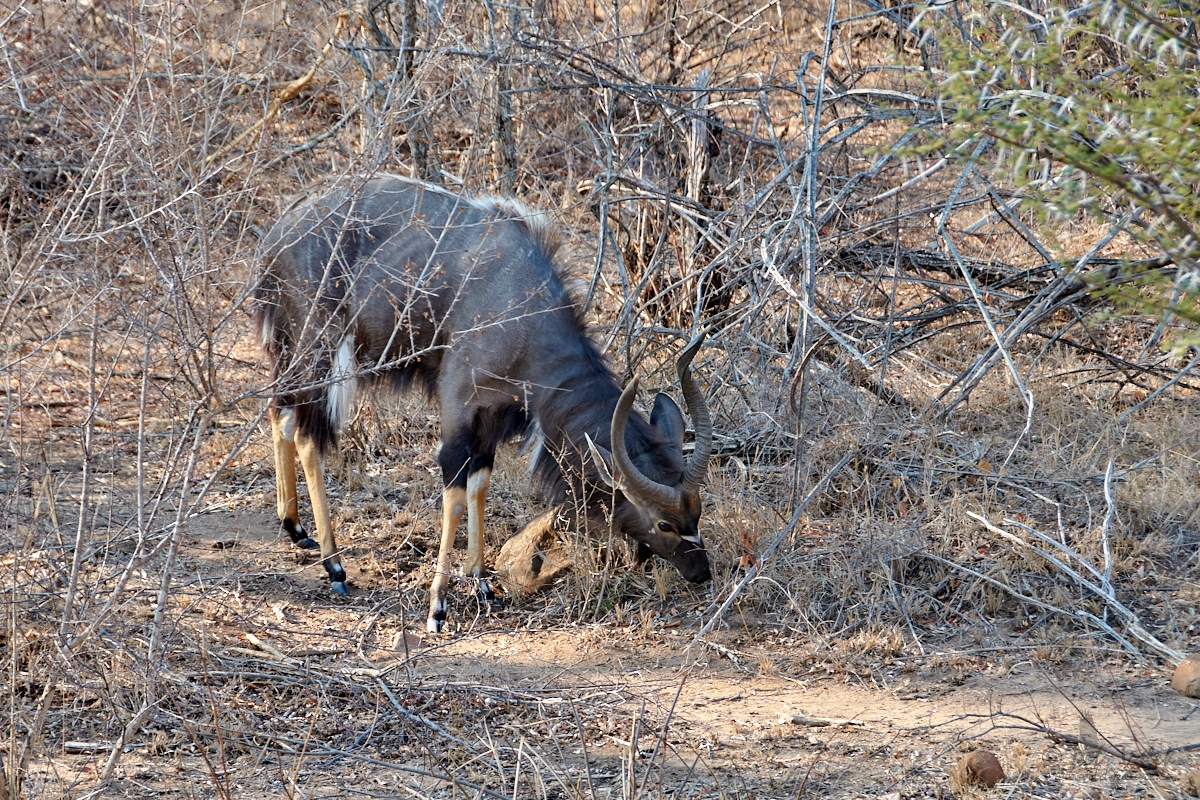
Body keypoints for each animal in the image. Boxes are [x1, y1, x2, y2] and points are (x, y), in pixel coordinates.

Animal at [254, 173, 710, 633]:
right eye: (664, 522)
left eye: (699, 511)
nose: (702, 572)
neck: (521, 311)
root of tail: (277, 235)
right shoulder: (458, 408)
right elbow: (455, 495)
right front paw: (437, 607)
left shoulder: (489, 418)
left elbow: (480, 486)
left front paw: (482, 585)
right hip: (321, 352)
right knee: (308, 434)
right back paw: (335, 567)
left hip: (293, 354)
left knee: (280, 411)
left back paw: (295, 528)